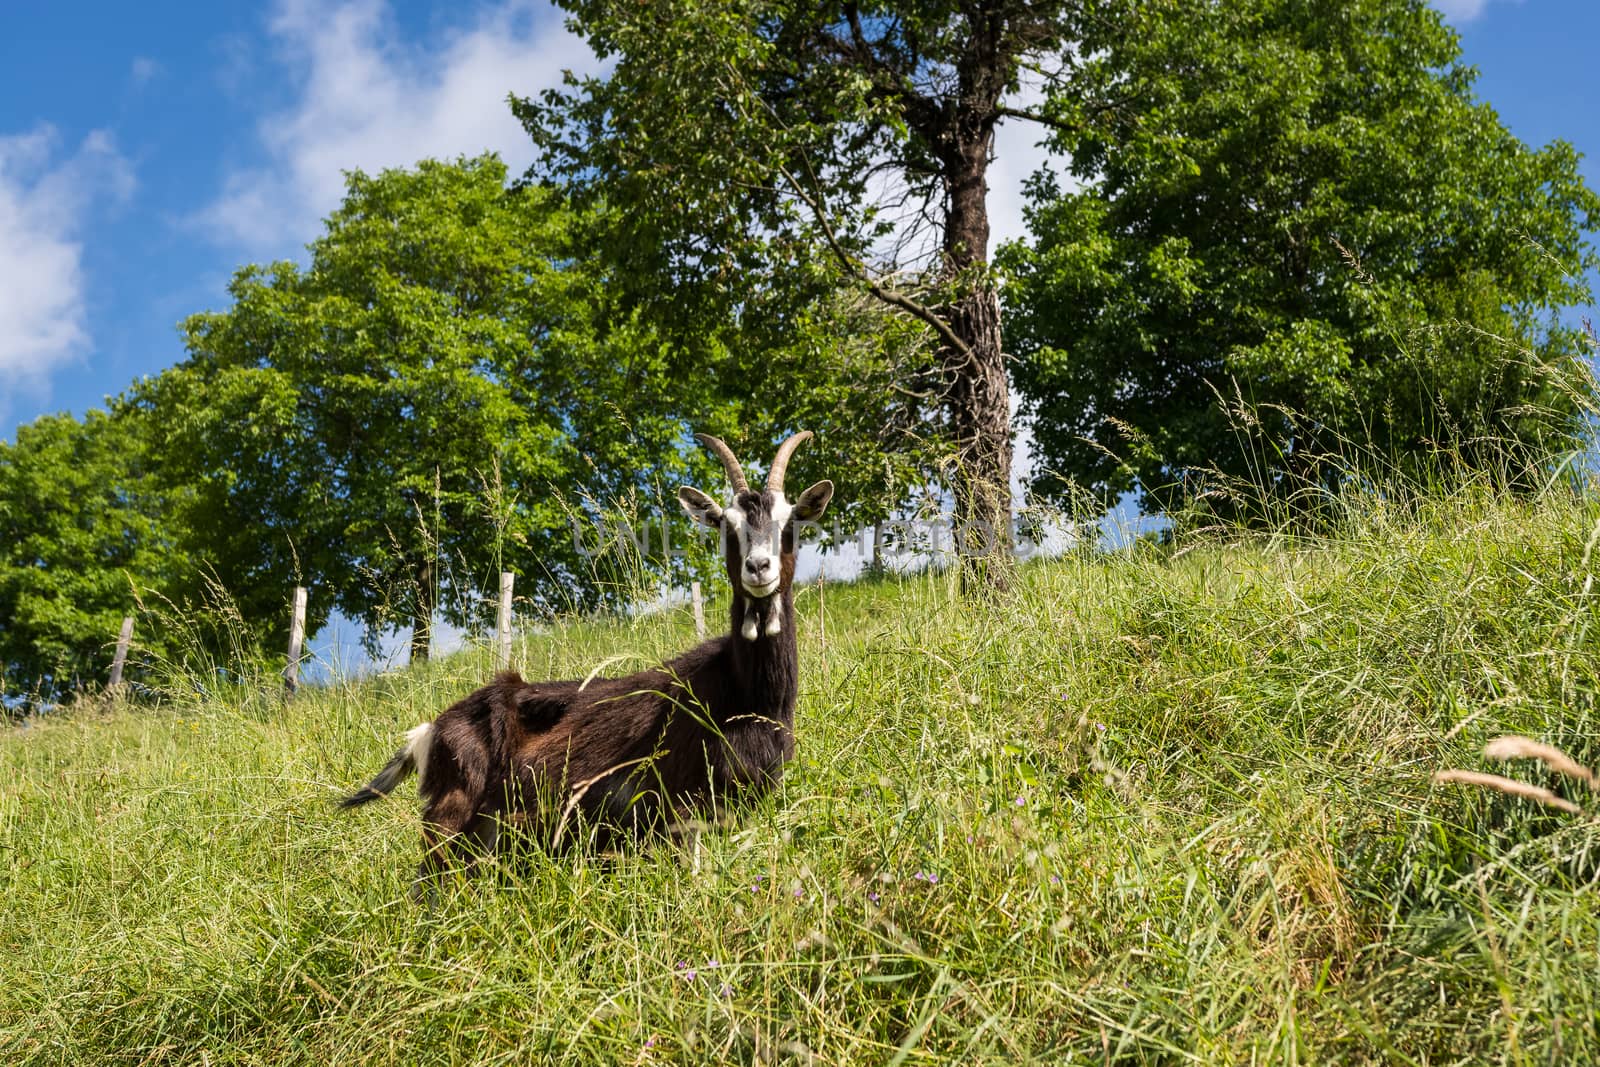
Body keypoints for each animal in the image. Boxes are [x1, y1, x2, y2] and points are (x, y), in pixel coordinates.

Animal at [340, 435, 838, 895]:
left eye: (791, 522)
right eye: (725, 526)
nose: (759, 568)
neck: (746, 695)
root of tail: (430, 731)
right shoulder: (679, 808)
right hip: (452, 816)